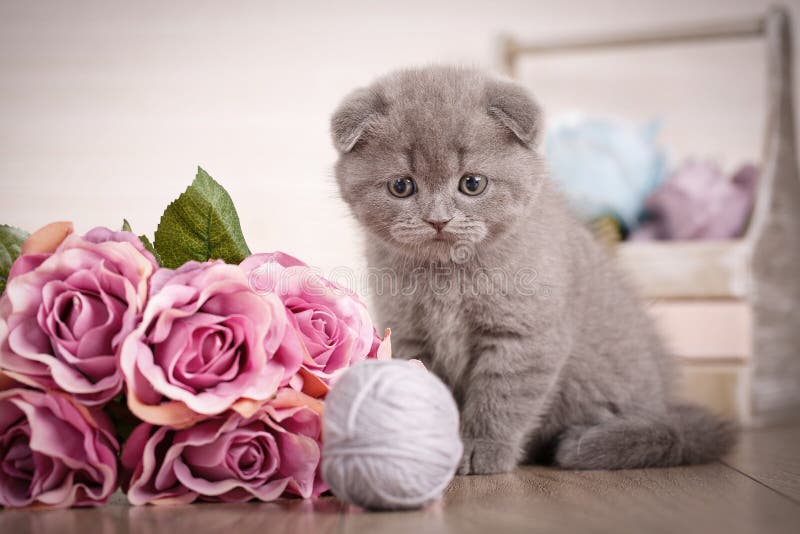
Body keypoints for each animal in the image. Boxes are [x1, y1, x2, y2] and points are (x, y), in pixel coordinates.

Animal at [328, 65, 736, 476]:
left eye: (472, 184)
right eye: (401, 185)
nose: (438, 220)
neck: (448, 278)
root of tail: (665, 400)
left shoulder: (524, 334)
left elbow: (502, 396)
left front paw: (481, 449)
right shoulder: (412, 336)